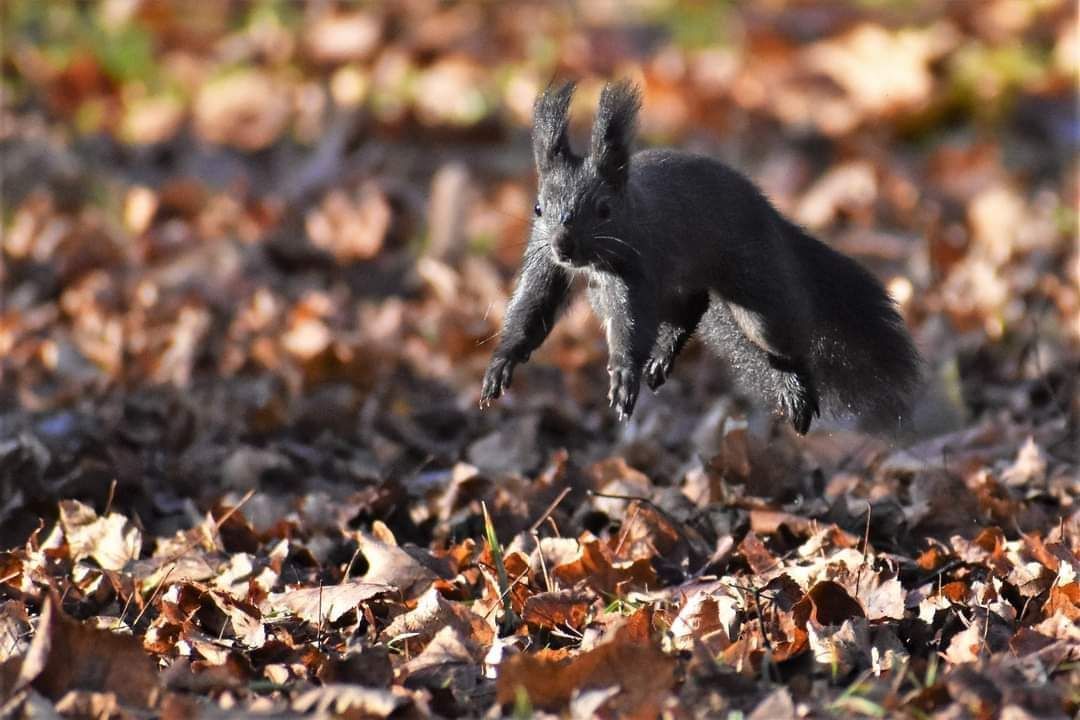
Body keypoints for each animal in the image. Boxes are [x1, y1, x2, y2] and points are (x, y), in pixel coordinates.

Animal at [481, 81, 920, 436]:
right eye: (538, 208)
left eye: (604, 210)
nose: (563, 245)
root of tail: (770, 215)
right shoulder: (545, 264)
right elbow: (533, 310)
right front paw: (501, 364)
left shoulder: (639, 266)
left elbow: (632, 325)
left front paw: (623, 374)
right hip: (637, 290)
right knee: (694, 304)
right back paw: (664, 357)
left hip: (755, 284)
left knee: (782, 340)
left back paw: (797, 391)